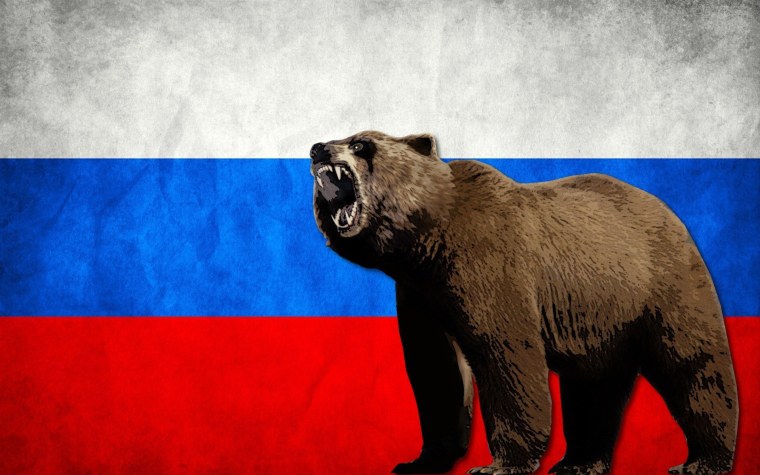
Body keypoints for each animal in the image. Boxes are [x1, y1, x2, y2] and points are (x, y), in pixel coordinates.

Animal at [309, 131, 738, 475]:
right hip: (601, 317)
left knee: (692, 363)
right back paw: (579, 462)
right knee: (594, 387)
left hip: (660, 284)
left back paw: (702, 460)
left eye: (361, 143)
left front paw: (498, 464)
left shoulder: (488, 265)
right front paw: (420, 461)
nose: (317, 148)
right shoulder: (420, 295)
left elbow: (506, 356)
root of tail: (671, 214)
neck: (426, 243)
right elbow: (437, 369)